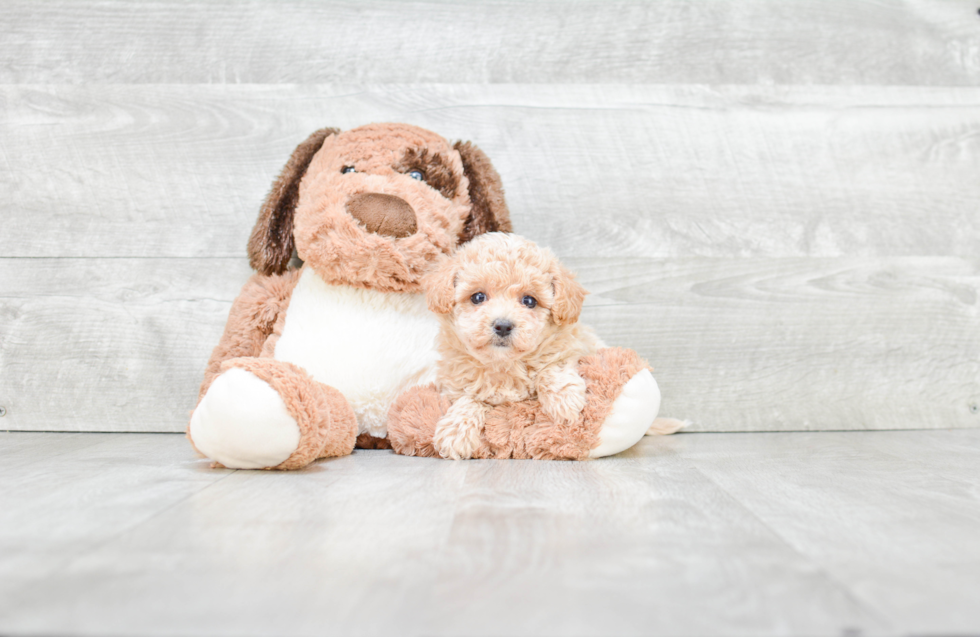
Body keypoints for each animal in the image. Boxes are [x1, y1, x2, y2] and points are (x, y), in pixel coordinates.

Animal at [422, 232, 596, 458]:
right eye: (478, 297)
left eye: (529, 301)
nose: (503, 326)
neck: (503, 364)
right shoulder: (455, 385)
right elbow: (469, 399)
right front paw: (456, 431)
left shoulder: (574, 343)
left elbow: (553, 366)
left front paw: (564, 400)